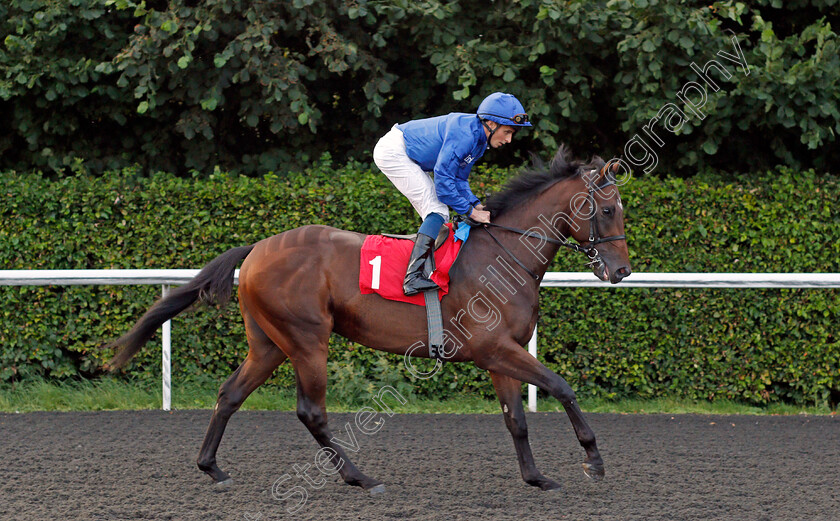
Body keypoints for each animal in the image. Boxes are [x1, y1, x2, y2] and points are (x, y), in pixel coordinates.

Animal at [106, 146, 632, 492]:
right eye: (608, 210)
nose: (622, 271)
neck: (504, 255)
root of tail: (256, 248)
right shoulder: (494, 348)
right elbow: (562, 387)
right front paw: (594, 460)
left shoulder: (503, 354)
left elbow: (516, 419)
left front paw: (537, 477)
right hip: (307, 340)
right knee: (311, 411)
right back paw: (360, 477)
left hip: (270, 343)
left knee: (230, 394)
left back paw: (211, 467)